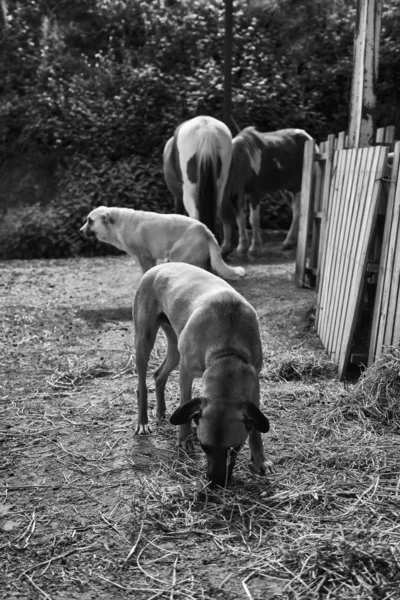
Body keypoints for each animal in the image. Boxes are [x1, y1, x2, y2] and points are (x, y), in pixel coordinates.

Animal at [79, 206, 245, 282]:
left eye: (90, 221)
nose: (80, 231)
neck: (117, 223)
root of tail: (206, 230)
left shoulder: (145, 257)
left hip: (177, 257)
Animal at [134, 264, 272, 488]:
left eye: (234, 448)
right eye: (204, 446)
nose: (215, 482)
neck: (226, 351)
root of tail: (158, 267)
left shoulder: (254, 381)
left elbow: (256, 431)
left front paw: (260, 460)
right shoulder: (186, 370)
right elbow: (185, 401)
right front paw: (184, 439)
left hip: (174, 348)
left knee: (158, 375)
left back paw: (161, 410)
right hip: (144, 340)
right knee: (141, 384)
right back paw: (143, 422)